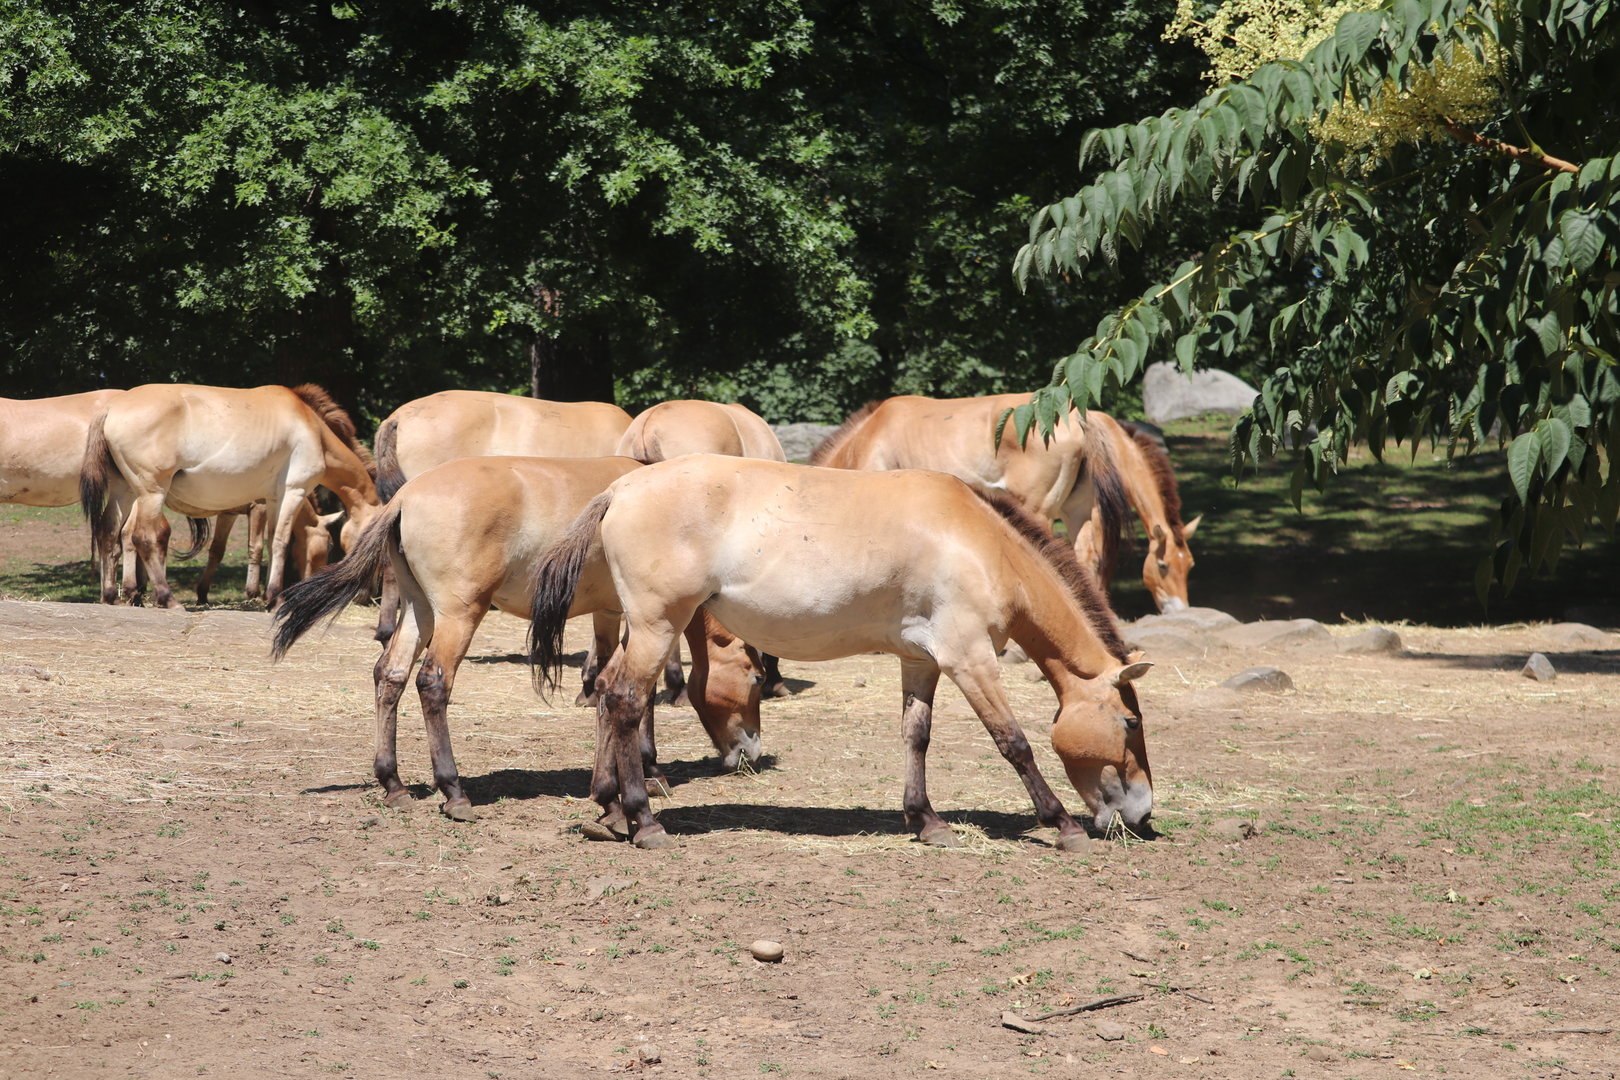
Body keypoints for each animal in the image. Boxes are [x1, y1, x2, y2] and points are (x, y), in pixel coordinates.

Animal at [80, 383, 380, 610]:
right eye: (328, 545)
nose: (367, 596)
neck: (313, 430)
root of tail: (112, 407)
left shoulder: (273, 499)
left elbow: (269, 542)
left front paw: (268, 596)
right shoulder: (293, 492)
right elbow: (280, 543)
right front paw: (275, 598)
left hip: (126, 491)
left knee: (108, 532)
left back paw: (111, 597)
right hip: (151, 493)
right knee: (143, 537)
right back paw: (168, 598)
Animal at [271, 455, 763, 822]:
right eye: (757, 679)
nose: (750, 752)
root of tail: (406, 496)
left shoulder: (610, 613)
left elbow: (605, 684)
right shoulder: (643, 618)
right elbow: (638, 694)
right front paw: (651, 771)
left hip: (419, 609)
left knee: (389, 675)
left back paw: (392, 782)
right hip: (457, 615)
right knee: (432, 682)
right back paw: (454, 791)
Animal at [529, 455, 1153, 851]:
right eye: (1129, 723)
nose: (1143, 813)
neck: (979, 542)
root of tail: (621, 490)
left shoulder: (921, 661)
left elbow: (916, 736)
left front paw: (926, 821)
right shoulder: (968, 657)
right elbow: (1014, 741)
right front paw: (1063, 826)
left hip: (641, 628)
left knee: (606, 693)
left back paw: (609, 809)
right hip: (659, 626)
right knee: (627, 701)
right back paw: (643, 819)